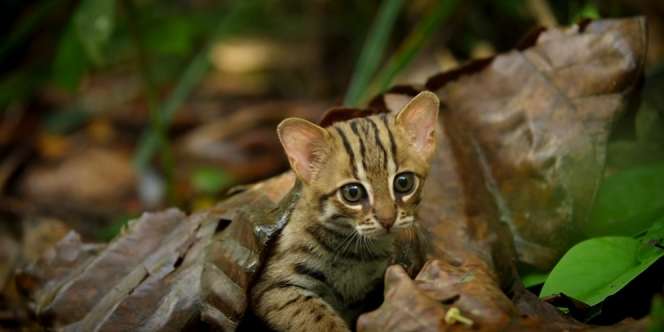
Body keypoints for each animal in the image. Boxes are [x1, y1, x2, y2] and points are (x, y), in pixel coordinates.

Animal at [249, 91, 440, 332]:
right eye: (352, 192)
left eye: (404, 182)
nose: (388, 220)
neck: (356, 253)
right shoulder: (273, 287)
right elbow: (317, 318)